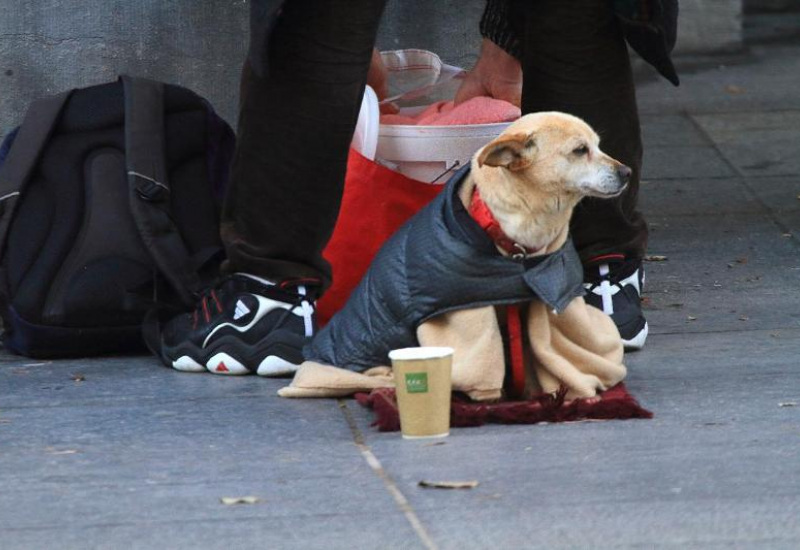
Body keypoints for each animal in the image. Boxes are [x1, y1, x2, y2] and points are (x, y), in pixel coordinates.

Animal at [282, 113, 632, 402]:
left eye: (598, 146)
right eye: (579, 150)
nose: (627, 171)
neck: (517, 249)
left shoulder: (540, 304)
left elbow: (547, 356)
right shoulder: (464, 312)